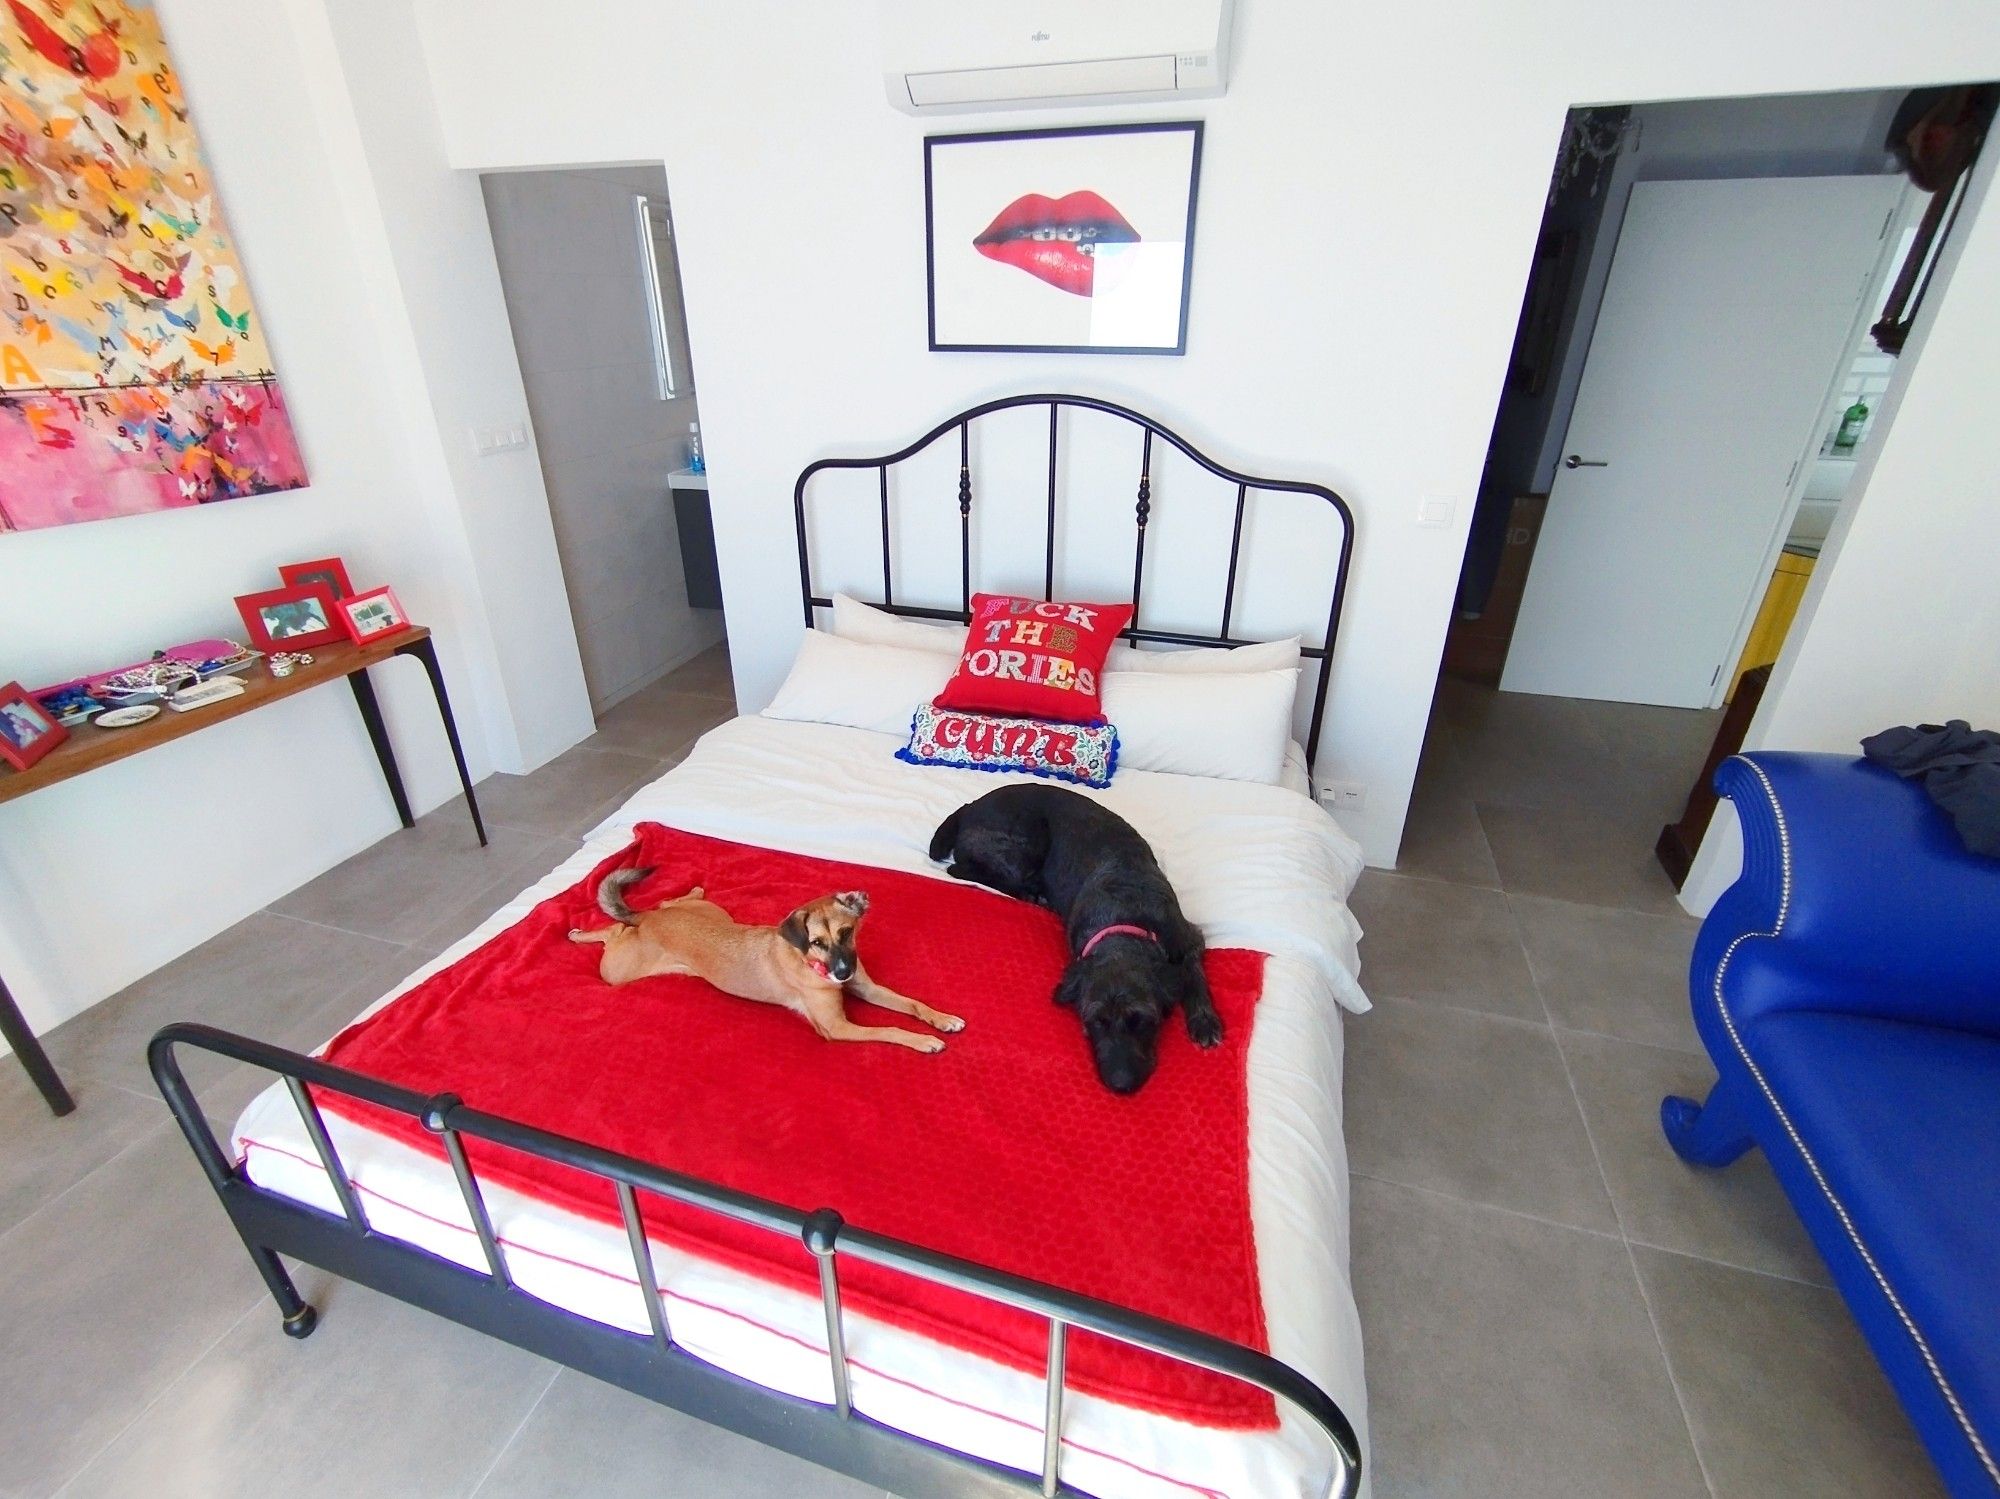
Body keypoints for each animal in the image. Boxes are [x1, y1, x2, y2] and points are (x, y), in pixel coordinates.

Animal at [568, 867, 964, 1055]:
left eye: (847, 932)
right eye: (817, 942)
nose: (842, 972)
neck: (810, 962)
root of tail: (649, 919)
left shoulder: (866, 987)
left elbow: (912, 1003)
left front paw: (943, 1019)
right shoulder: (836, 1027)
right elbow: (891, 1029)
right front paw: (924, 1041)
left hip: (711, 912)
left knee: (660, 903)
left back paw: (690, 889)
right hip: (617, 971)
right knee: (614, 930)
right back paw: (579, 934)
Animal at [932, 787, 1216, 1095]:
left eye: (1141, 1020)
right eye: (1095, 1022)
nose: (1120, 1084)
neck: (1125, 917)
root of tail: (970, 805)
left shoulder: (1189, 938)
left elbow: (1195, 976)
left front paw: (1205, 1021)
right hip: (1022, 849)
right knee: (959, 869)